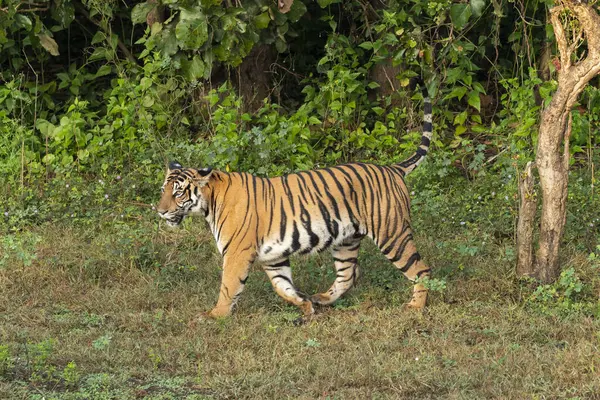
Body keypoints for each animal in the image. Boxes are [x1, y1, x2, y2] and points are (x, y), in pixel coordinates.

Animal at [157, 83, 434, 320]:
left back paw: (416, 306)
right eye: (163, 190)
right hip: (346, 240)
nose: (159, 211)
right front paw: (305, 305)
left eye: (178, 193)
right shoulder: (272, 256)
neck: (209, 202)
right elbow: (282, 286)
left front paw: (215, 315)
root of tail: (392, 168)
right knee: (348, 274)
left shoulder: (237, 252)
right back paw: (322, 299)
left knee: (421, 269)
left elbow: (228, 286)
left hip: (392, 234)